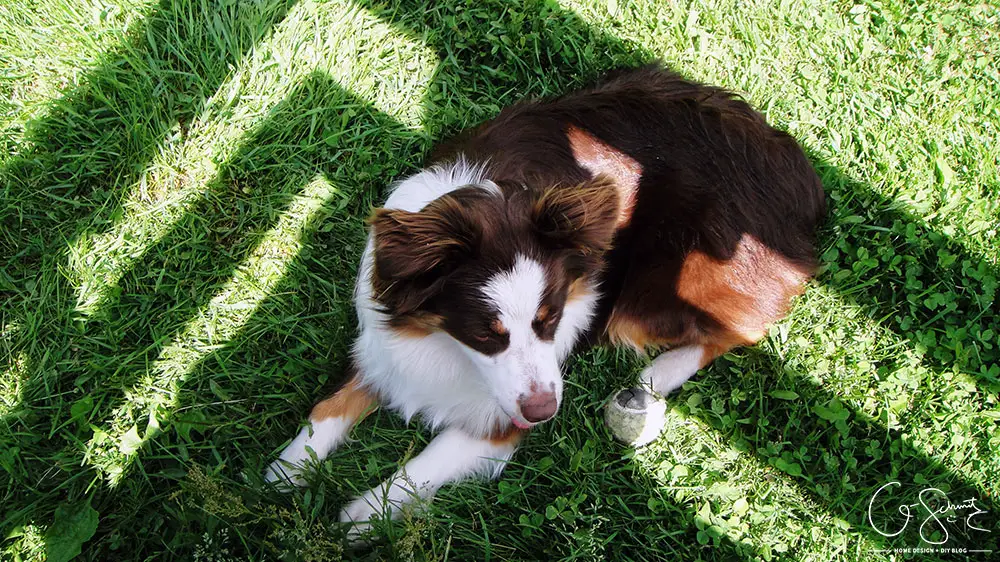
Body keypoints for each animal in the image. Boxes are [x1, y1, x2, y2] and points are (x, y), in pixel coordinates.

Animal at [266, 62, 828, 532]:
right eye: (484, 334)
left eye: (550, 319)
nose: (544, 414)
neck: (445, 351)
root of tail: (791, 162)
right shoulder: (383, 343)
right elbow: (327, 408)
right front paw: (284, 470)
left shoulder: (498, 425)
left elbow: (422, 466)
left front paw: (364, 515)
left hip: (657, 294)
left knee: (744, 327)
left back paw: (656, 376)